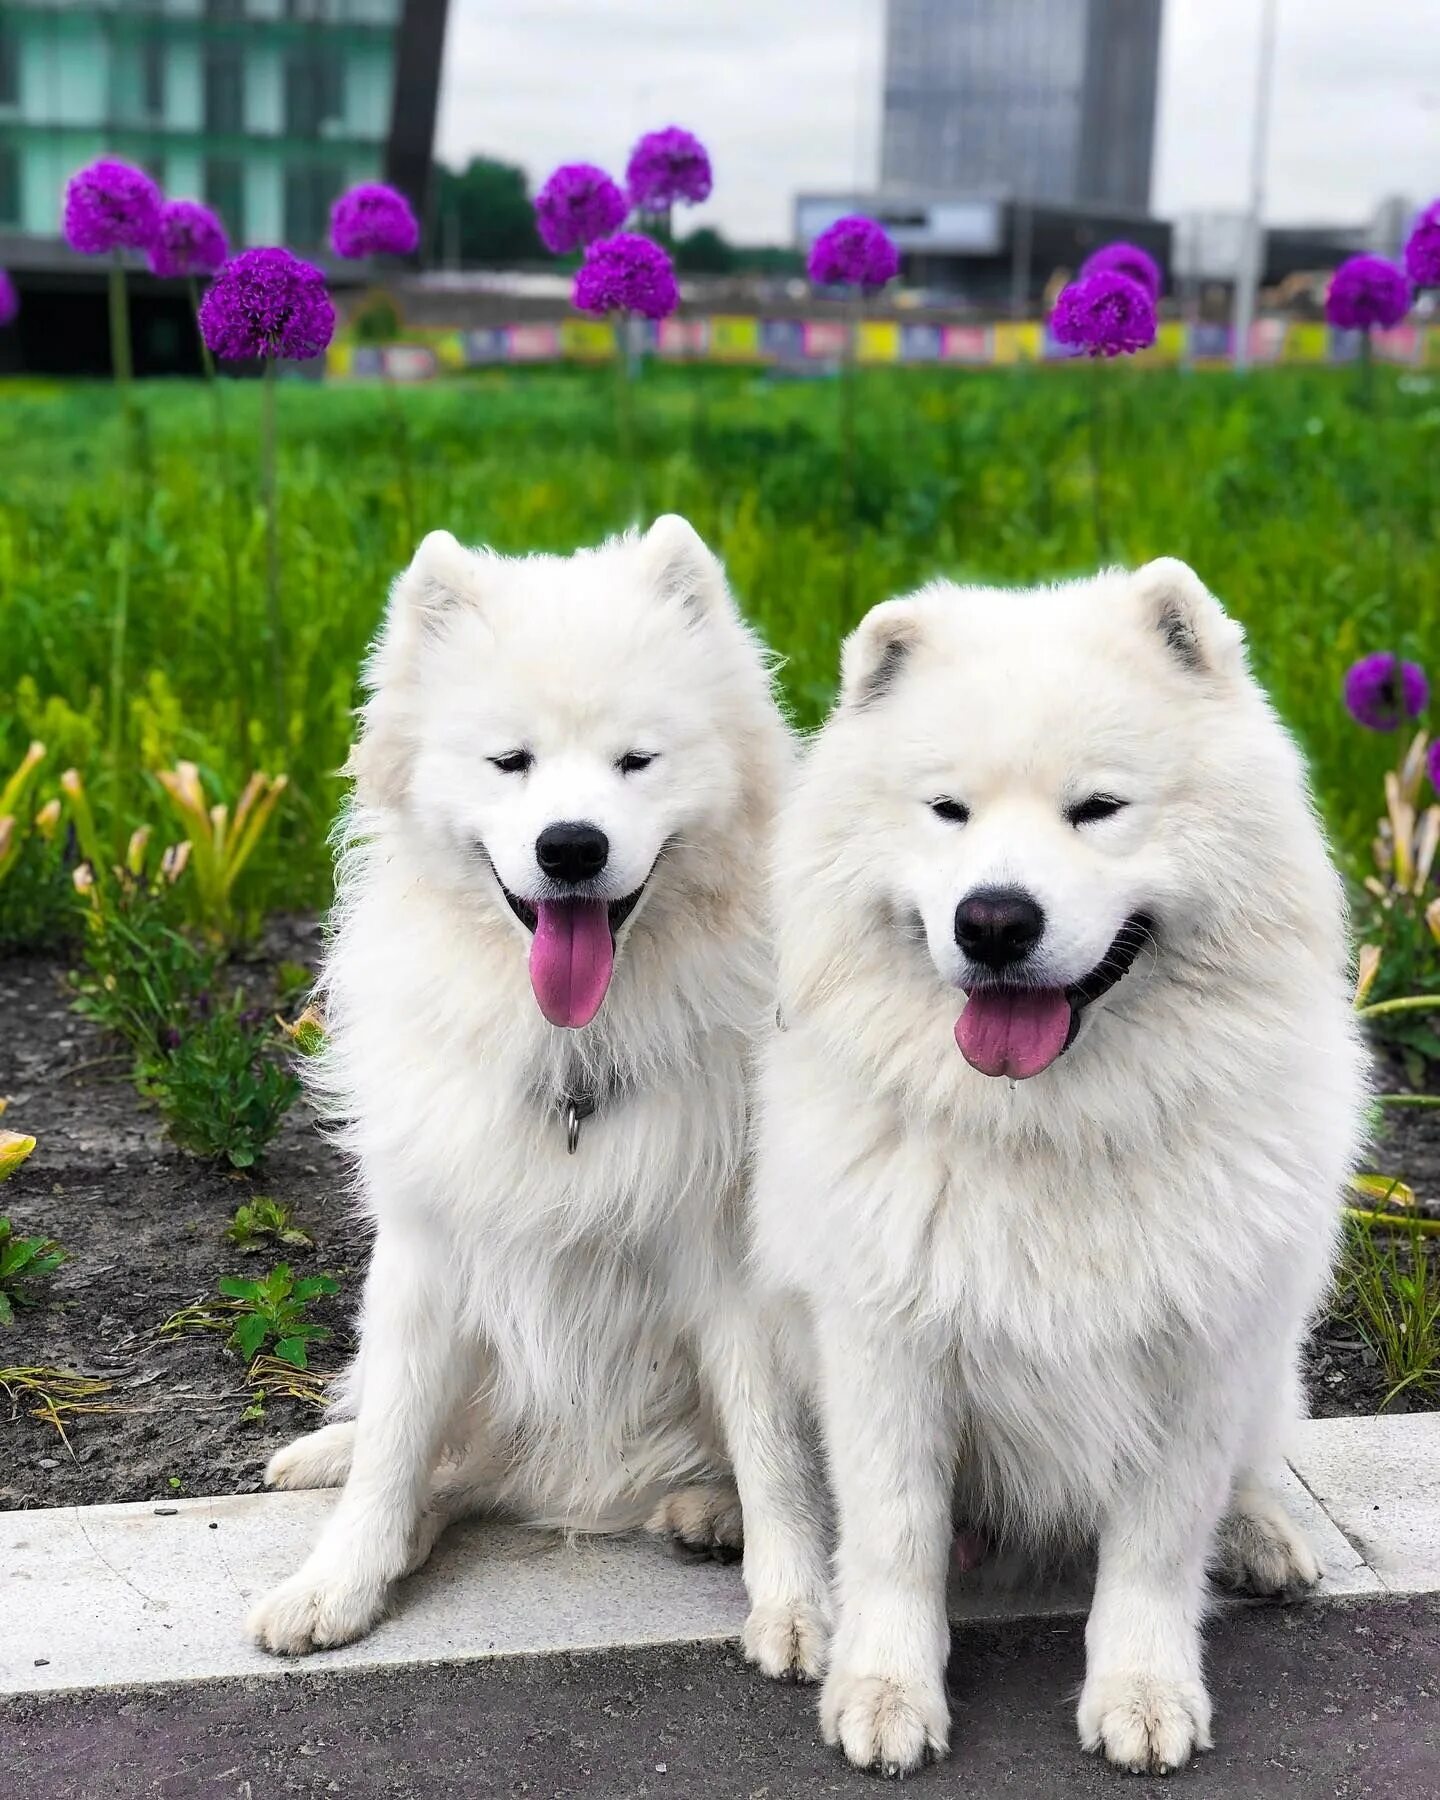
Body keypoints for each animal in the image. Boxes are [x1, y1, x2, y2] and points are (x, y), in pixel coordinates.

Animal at [248, 511, 828, 1670]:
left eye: (635, 761)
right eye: (510, 761)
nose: (571, 847)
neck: (572, 1054)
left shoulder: (731, 1260)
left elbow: (773, 1446)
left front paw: (794, 1603)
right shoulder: (429, 1251)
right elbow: (397, 1442)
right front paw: (338, 1580)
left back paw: (710, 1512)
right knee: (425, 1448)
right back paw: (338, 1465)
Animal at [748, 558, 1368, 1771]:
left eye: (1098, 809)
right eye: (948, 811)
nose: (993, 919)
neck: (1050, 1130)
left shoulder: (1197, 1350)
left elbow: (1157, 1547)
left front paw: (1144, 1692)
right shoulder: (887, 1348)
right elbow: (893, 1536)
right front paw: (885, 1693)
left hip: (1267, 1357)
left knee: (1255, 1459)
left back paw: (1261, 1534)